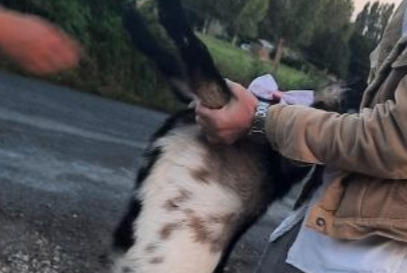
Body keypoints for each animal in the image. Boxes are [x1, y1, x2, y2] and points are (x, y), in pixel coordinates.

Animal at [110, 1, 336, 270]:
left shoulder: (215, 97)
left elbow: (195, 46)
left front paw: (167, 10)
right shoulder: (193, 95)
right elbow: (160, 52)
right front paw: (131, 15)